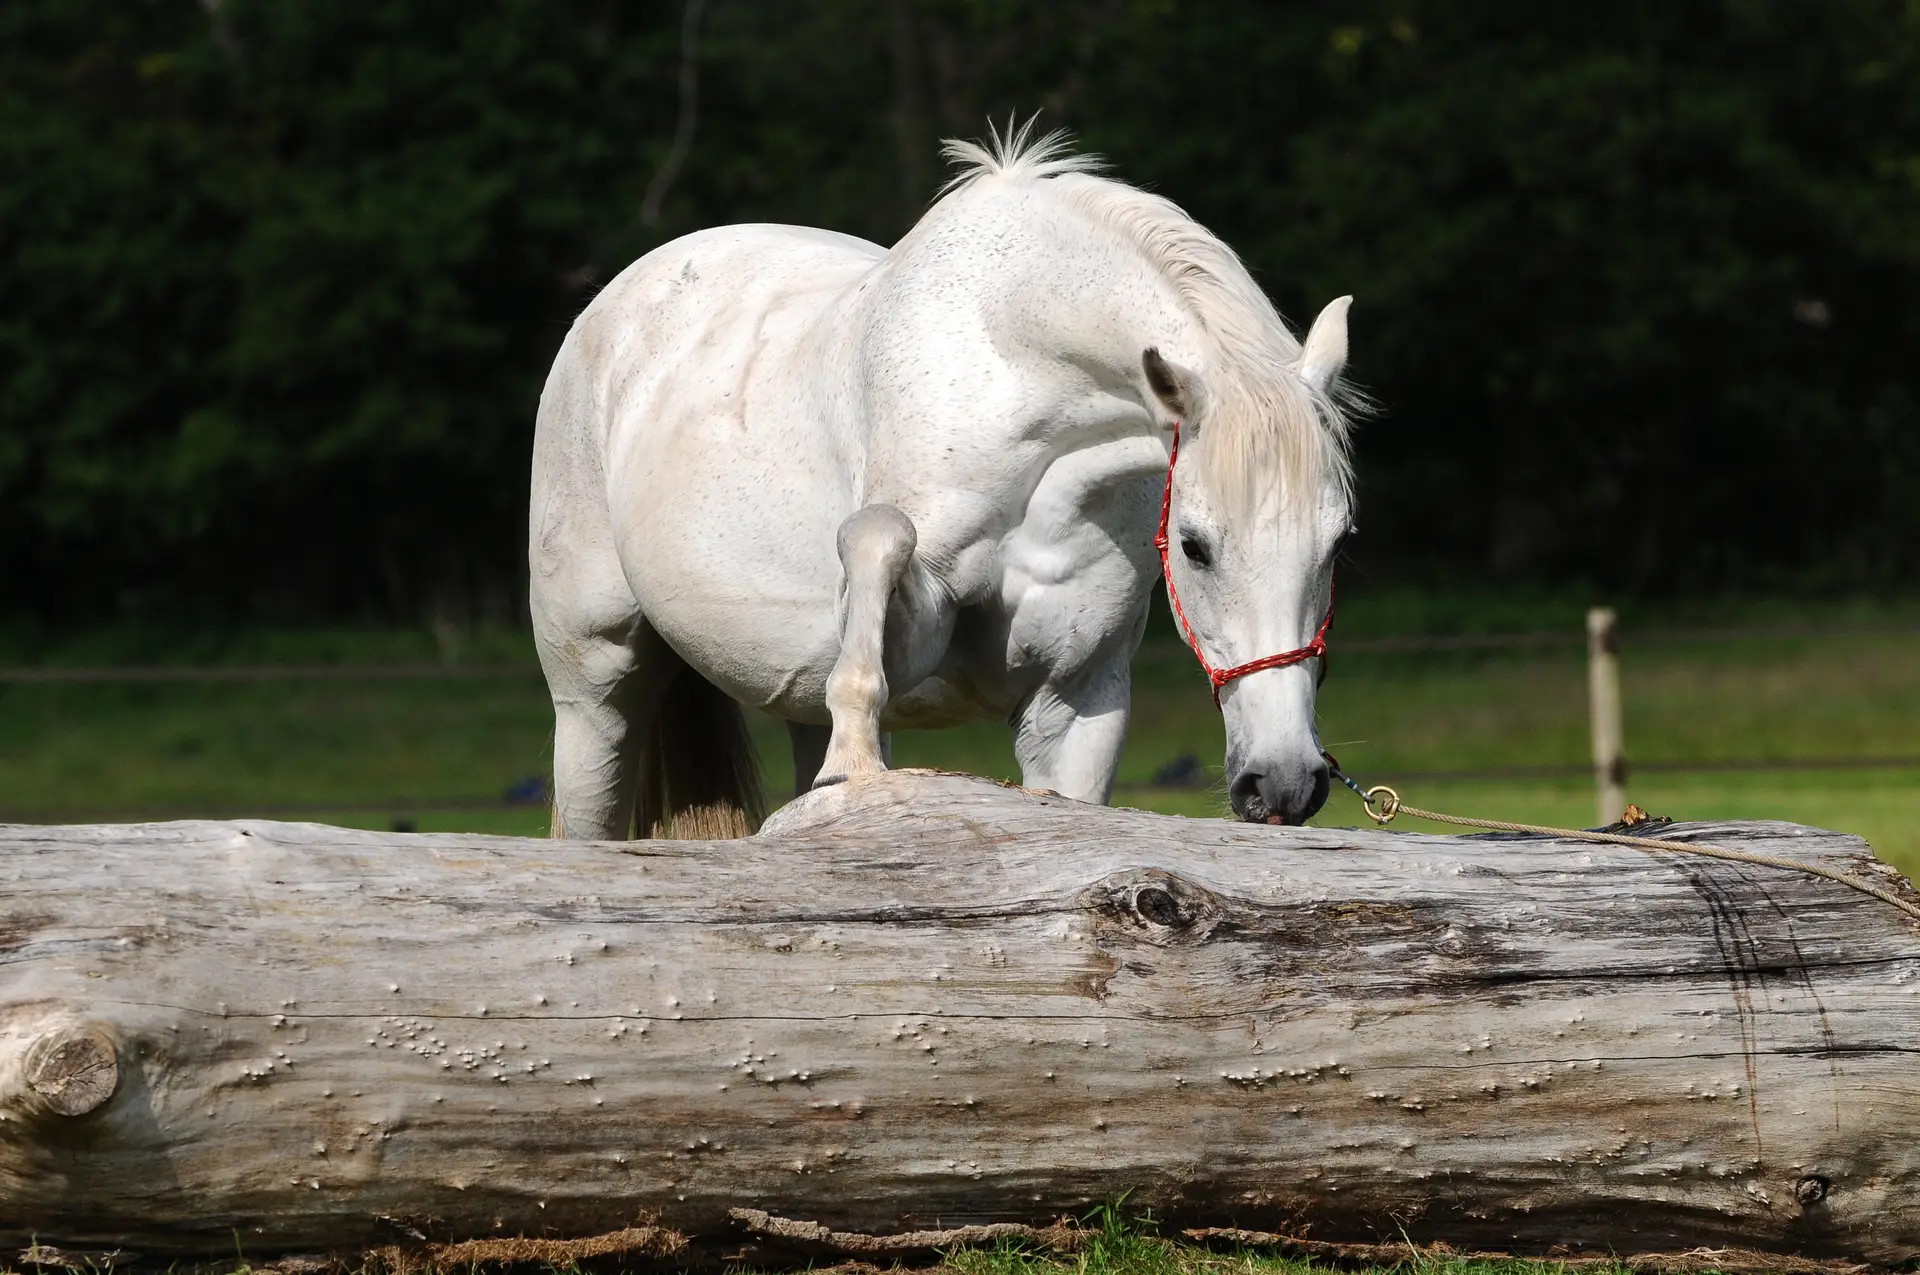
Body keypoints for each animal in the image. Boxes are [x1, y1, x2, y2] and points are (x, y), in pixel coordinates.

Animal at [530, 123, 1357, 840]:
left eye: (1339, 542)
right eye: (1194, 546)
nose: (1285, 781)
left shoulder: (1074, 708)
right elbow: (880, 541)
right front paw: (853, 761)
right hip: (594, 696)